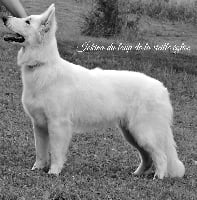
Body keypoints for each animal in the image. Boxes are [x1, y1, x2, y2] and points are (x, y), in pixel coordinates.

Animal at [3, 3, 185, 178]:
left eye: (27, 21)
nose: (4, 17)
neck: (42, 65)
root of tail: (162, 88)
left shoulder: (57, 125)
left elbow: (55, 153)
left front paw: (54, 172)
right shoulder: (39, 125)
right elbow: (40, 152)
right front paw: (37, 169)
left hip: (143, 132)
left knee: (161, 157)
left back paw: (158, 178)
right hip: (131, 133)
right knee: (147, 158)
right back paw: (137, 174)